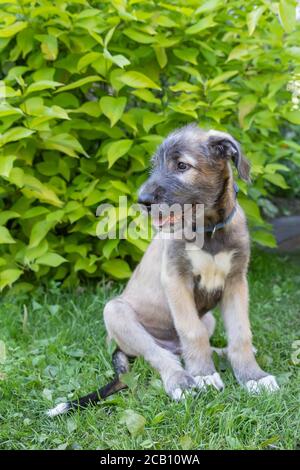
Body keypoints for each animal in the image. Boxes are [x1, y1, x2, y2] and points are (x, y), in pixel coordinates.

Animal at [47, 124, 278, 414]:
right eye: (155, 165)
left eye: (181, 166)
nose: (142, 200)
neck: (209, 229)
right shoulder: (176, 279)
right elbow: (191, 331)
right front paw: (203, 375)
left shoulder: (237, 281)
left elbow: (240, 334)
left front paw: (252, 376)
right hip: (115, 312)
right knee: (161, 355)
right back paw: (182, 380)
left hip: (209, 319)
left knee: (184, 348)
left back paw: (219, 354)